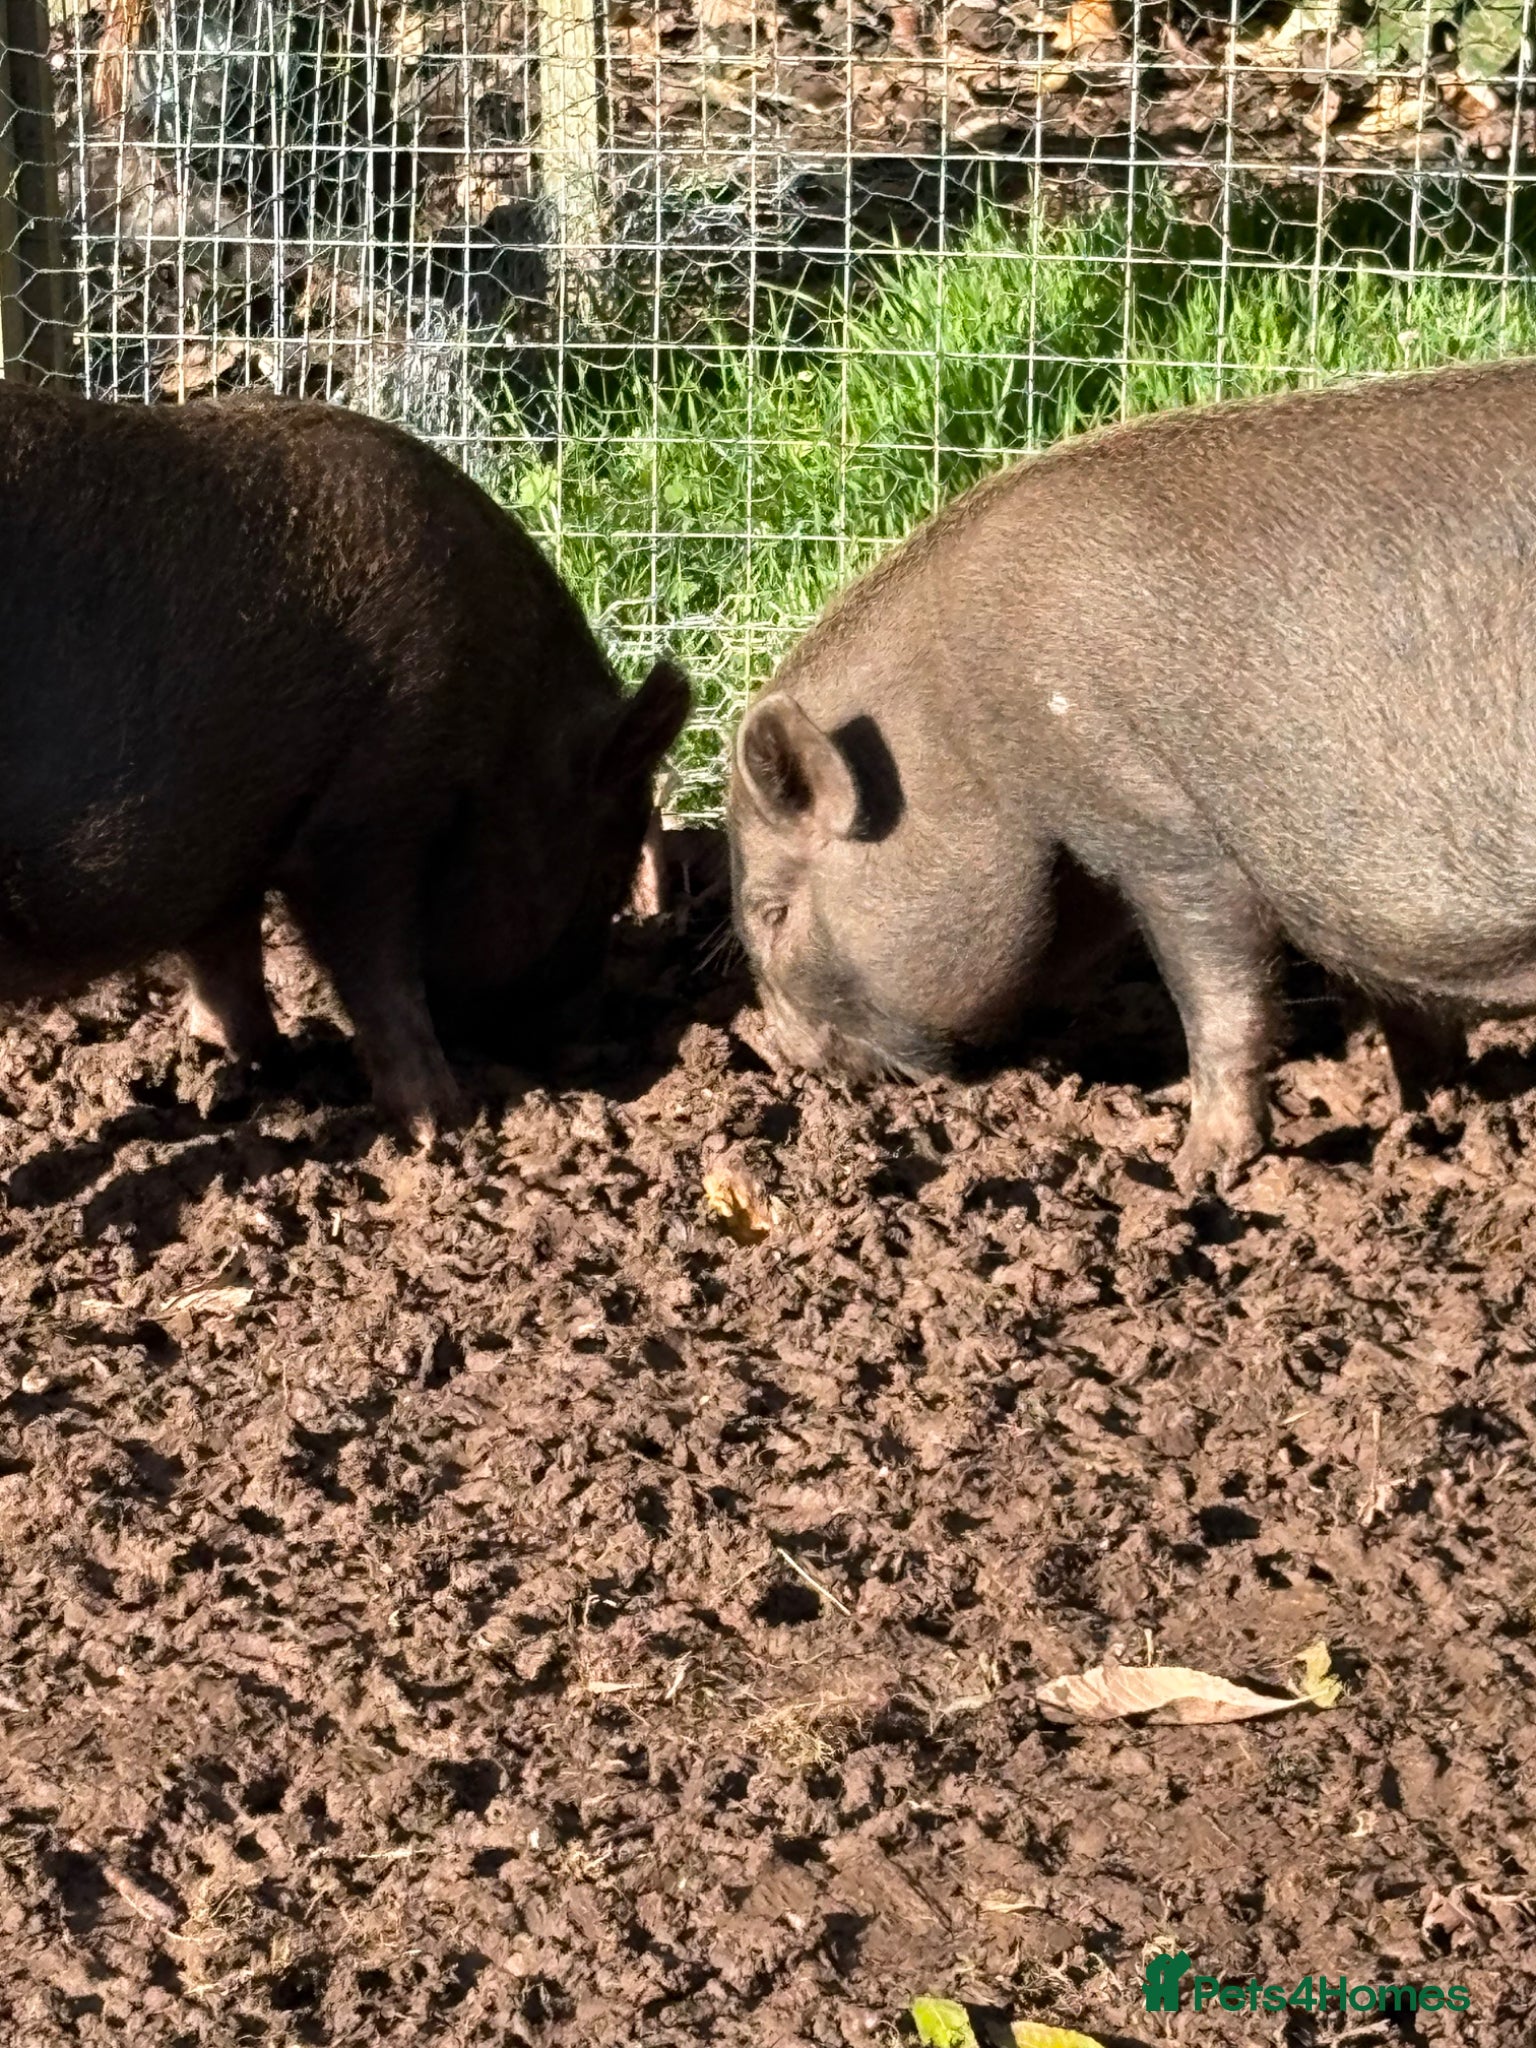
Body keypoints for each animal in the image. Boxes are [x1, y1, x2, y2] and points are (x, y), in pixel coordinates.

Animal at [0, 383, 689, 1138]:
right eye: (607, 874)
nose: (593, 1051)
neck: (508, 717)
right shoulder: (372, 809)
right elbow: (378, 968)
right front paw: (441, 1122)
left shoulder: (233, 836)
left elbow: (226, 954)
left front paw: (261, 1065)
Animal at [729, 356, 1536, 1188]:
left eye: (771, 912)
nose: (769, 1045)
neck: (964, 736)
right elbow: (1407, 1012)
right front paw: (1425, 1113)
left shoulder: (1158, 818)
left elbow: (1220, 1002)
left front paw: (1196, 1170)